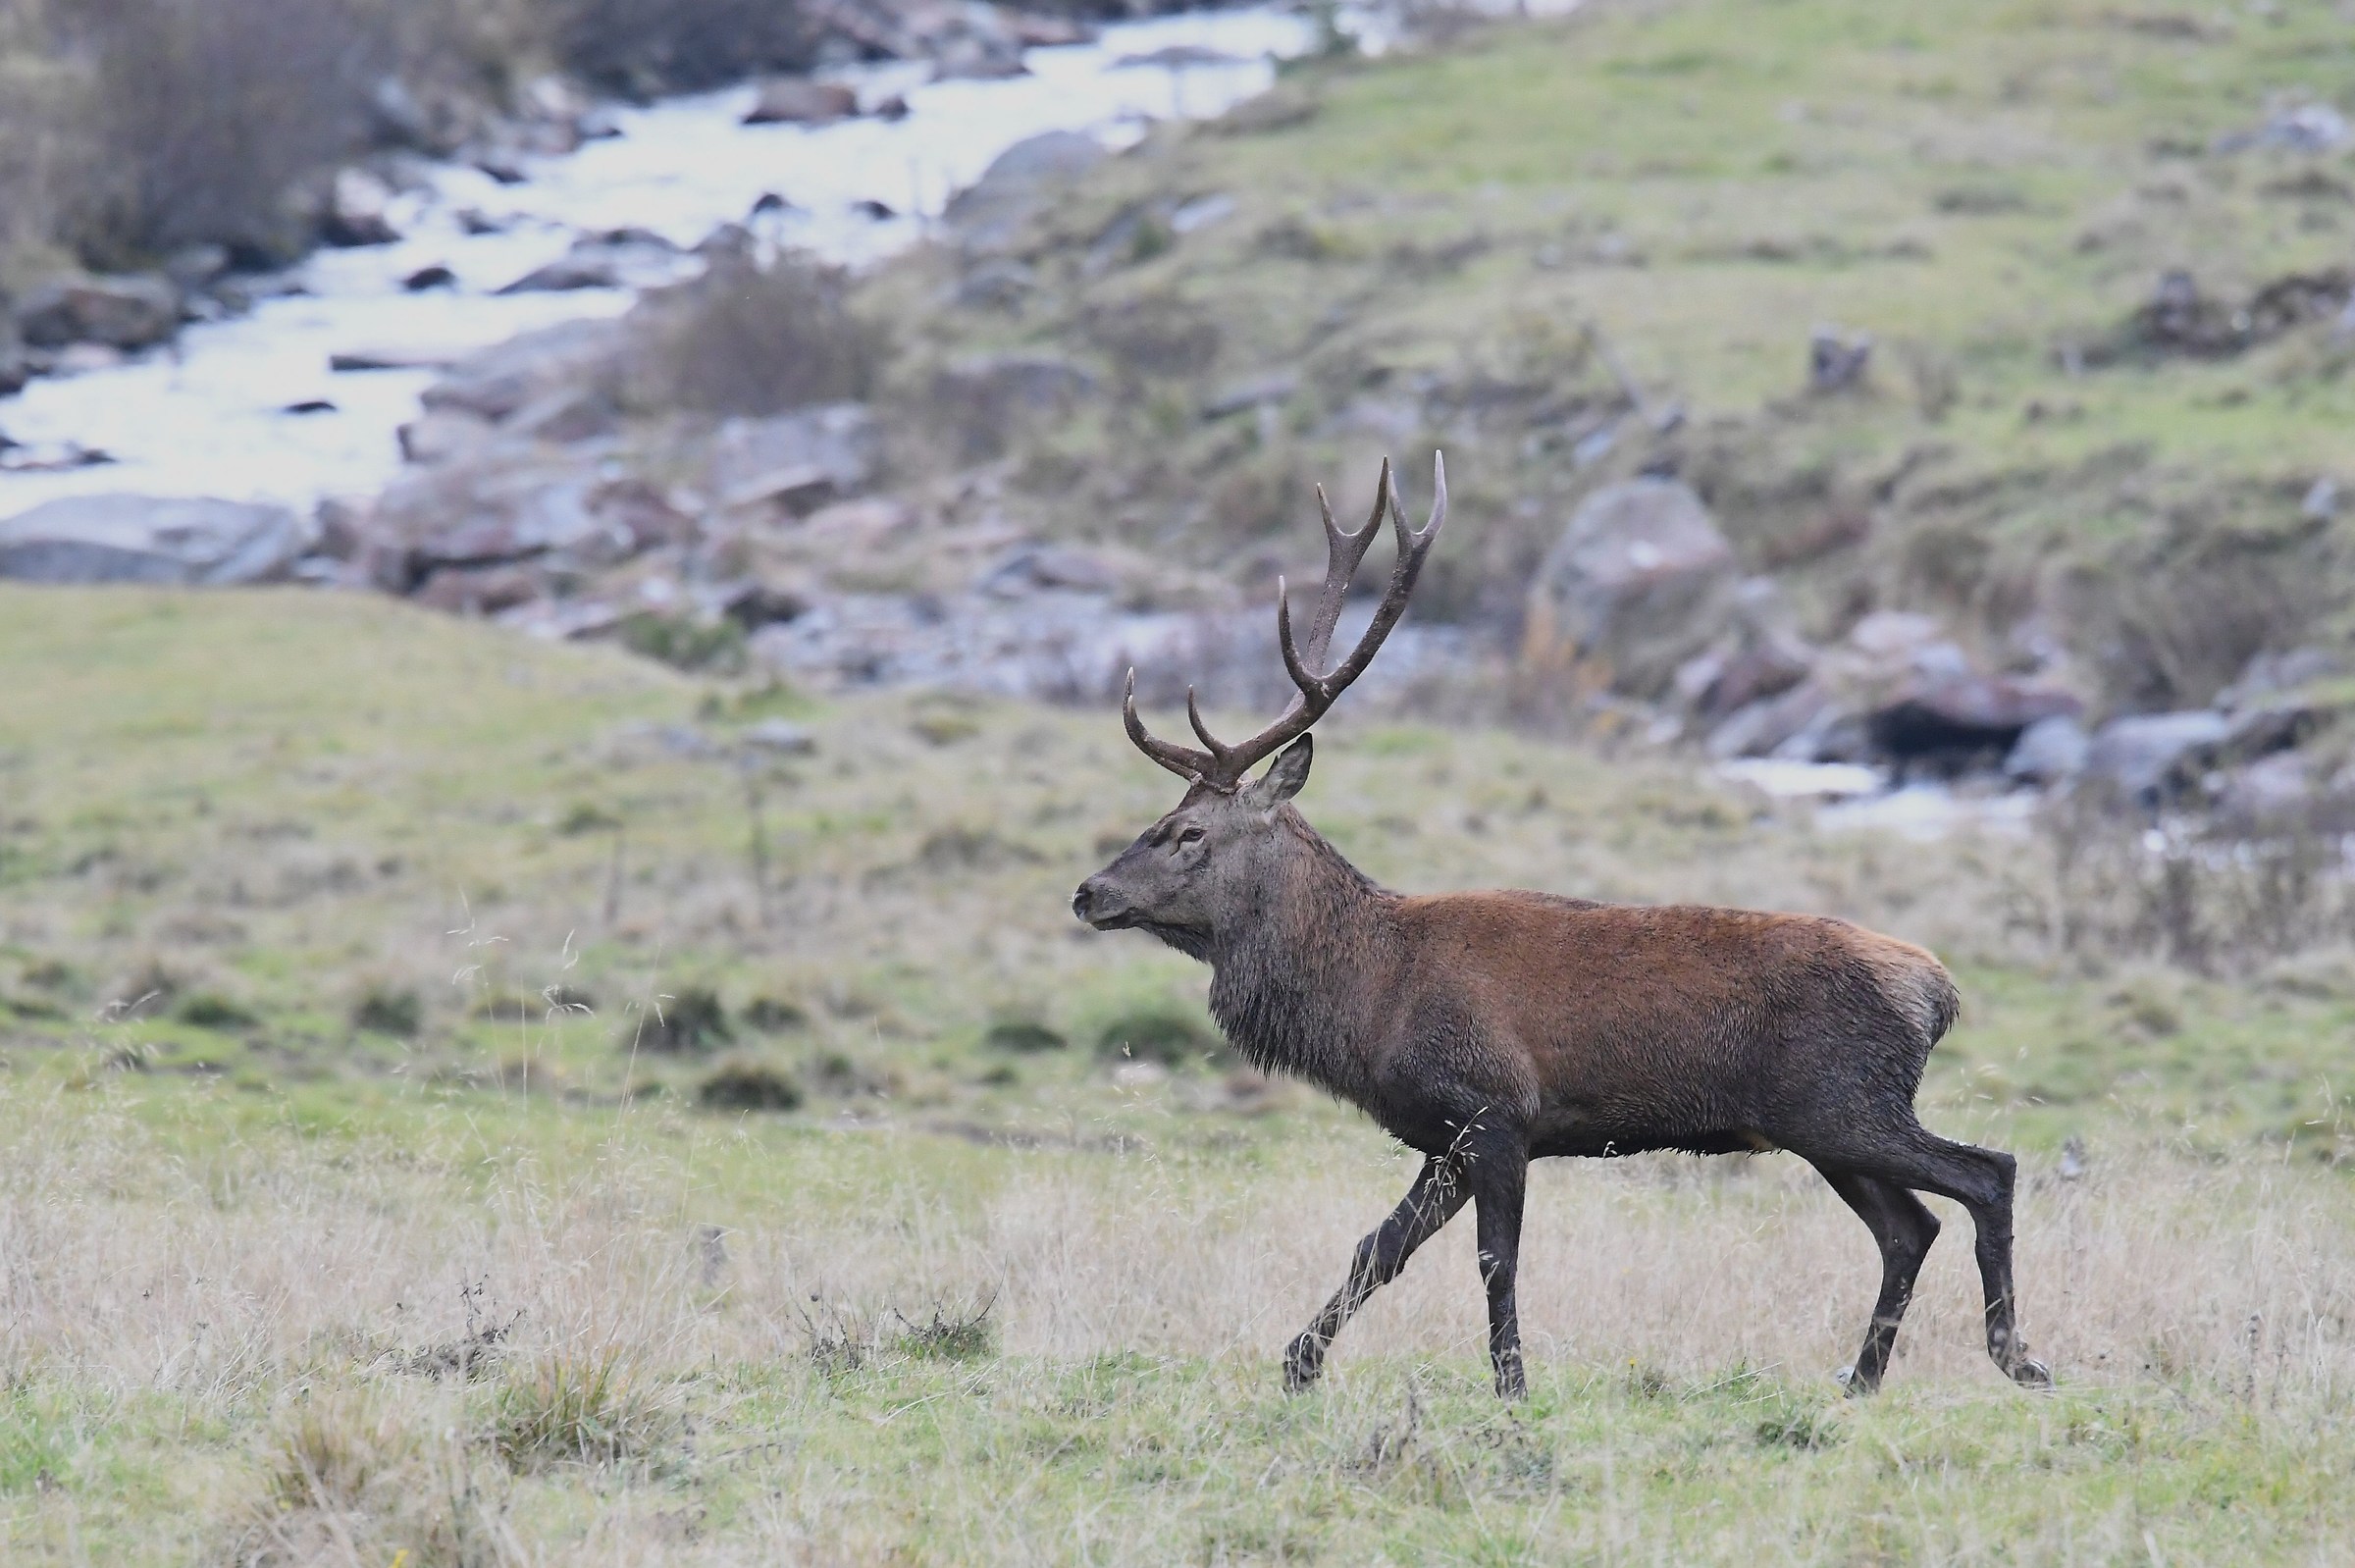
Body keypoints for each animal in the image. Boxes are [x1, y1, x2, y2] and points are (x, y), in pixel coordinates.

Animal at [1070, 454, 2052, 1401]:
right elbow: (1377, 1250)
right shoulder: (1445, 1140)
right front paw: (1298, 1365)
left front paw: (1511, 1385)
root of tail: (1937, 990)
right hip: (1823, 1123)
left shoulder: (1495, 1111)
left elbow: (1494, 1262)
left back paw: (2015, 1357)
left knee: (1987, 1173)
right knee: (1908, 1226)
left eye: (1188, 832)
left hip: (1845, 1100)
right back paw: (1863, 1379)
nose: (1087, 893)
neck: (1370, 1000)